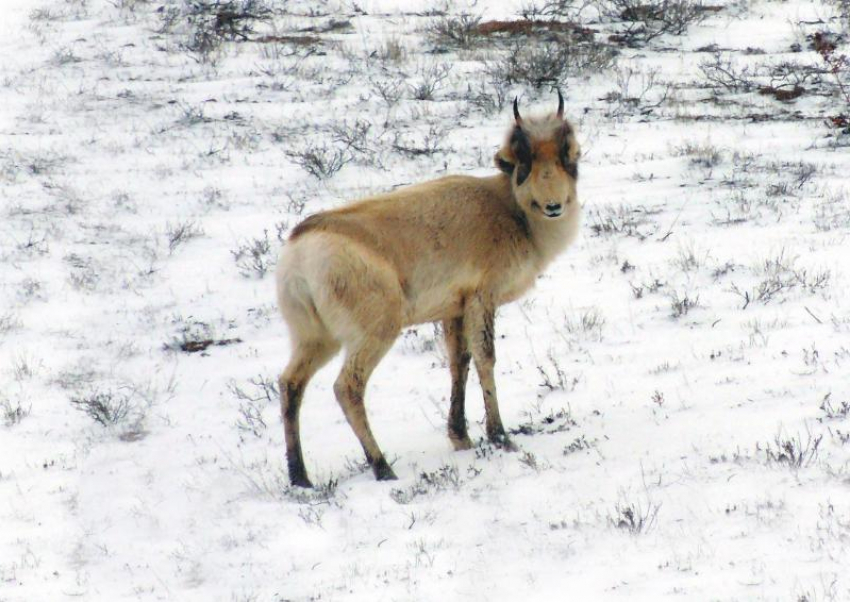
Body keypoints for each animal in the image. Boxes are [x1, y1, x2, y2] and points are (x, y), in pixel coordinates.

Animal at [274, 94, 580, 486]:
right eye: (523, 160)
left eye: (565, 154)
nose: (554, 206)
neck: (505, 206)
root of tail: (302, 247)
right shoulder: (481, 301)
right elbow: (485, 358)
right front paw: (500, 436)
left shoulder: (454, 311)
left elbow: (458, 362)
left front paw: (461, 436)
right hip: (373, 335)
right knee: (347, 387)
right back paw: (382, 467)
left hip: (314, 340)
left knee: (290, 383)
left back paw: (300, 476)